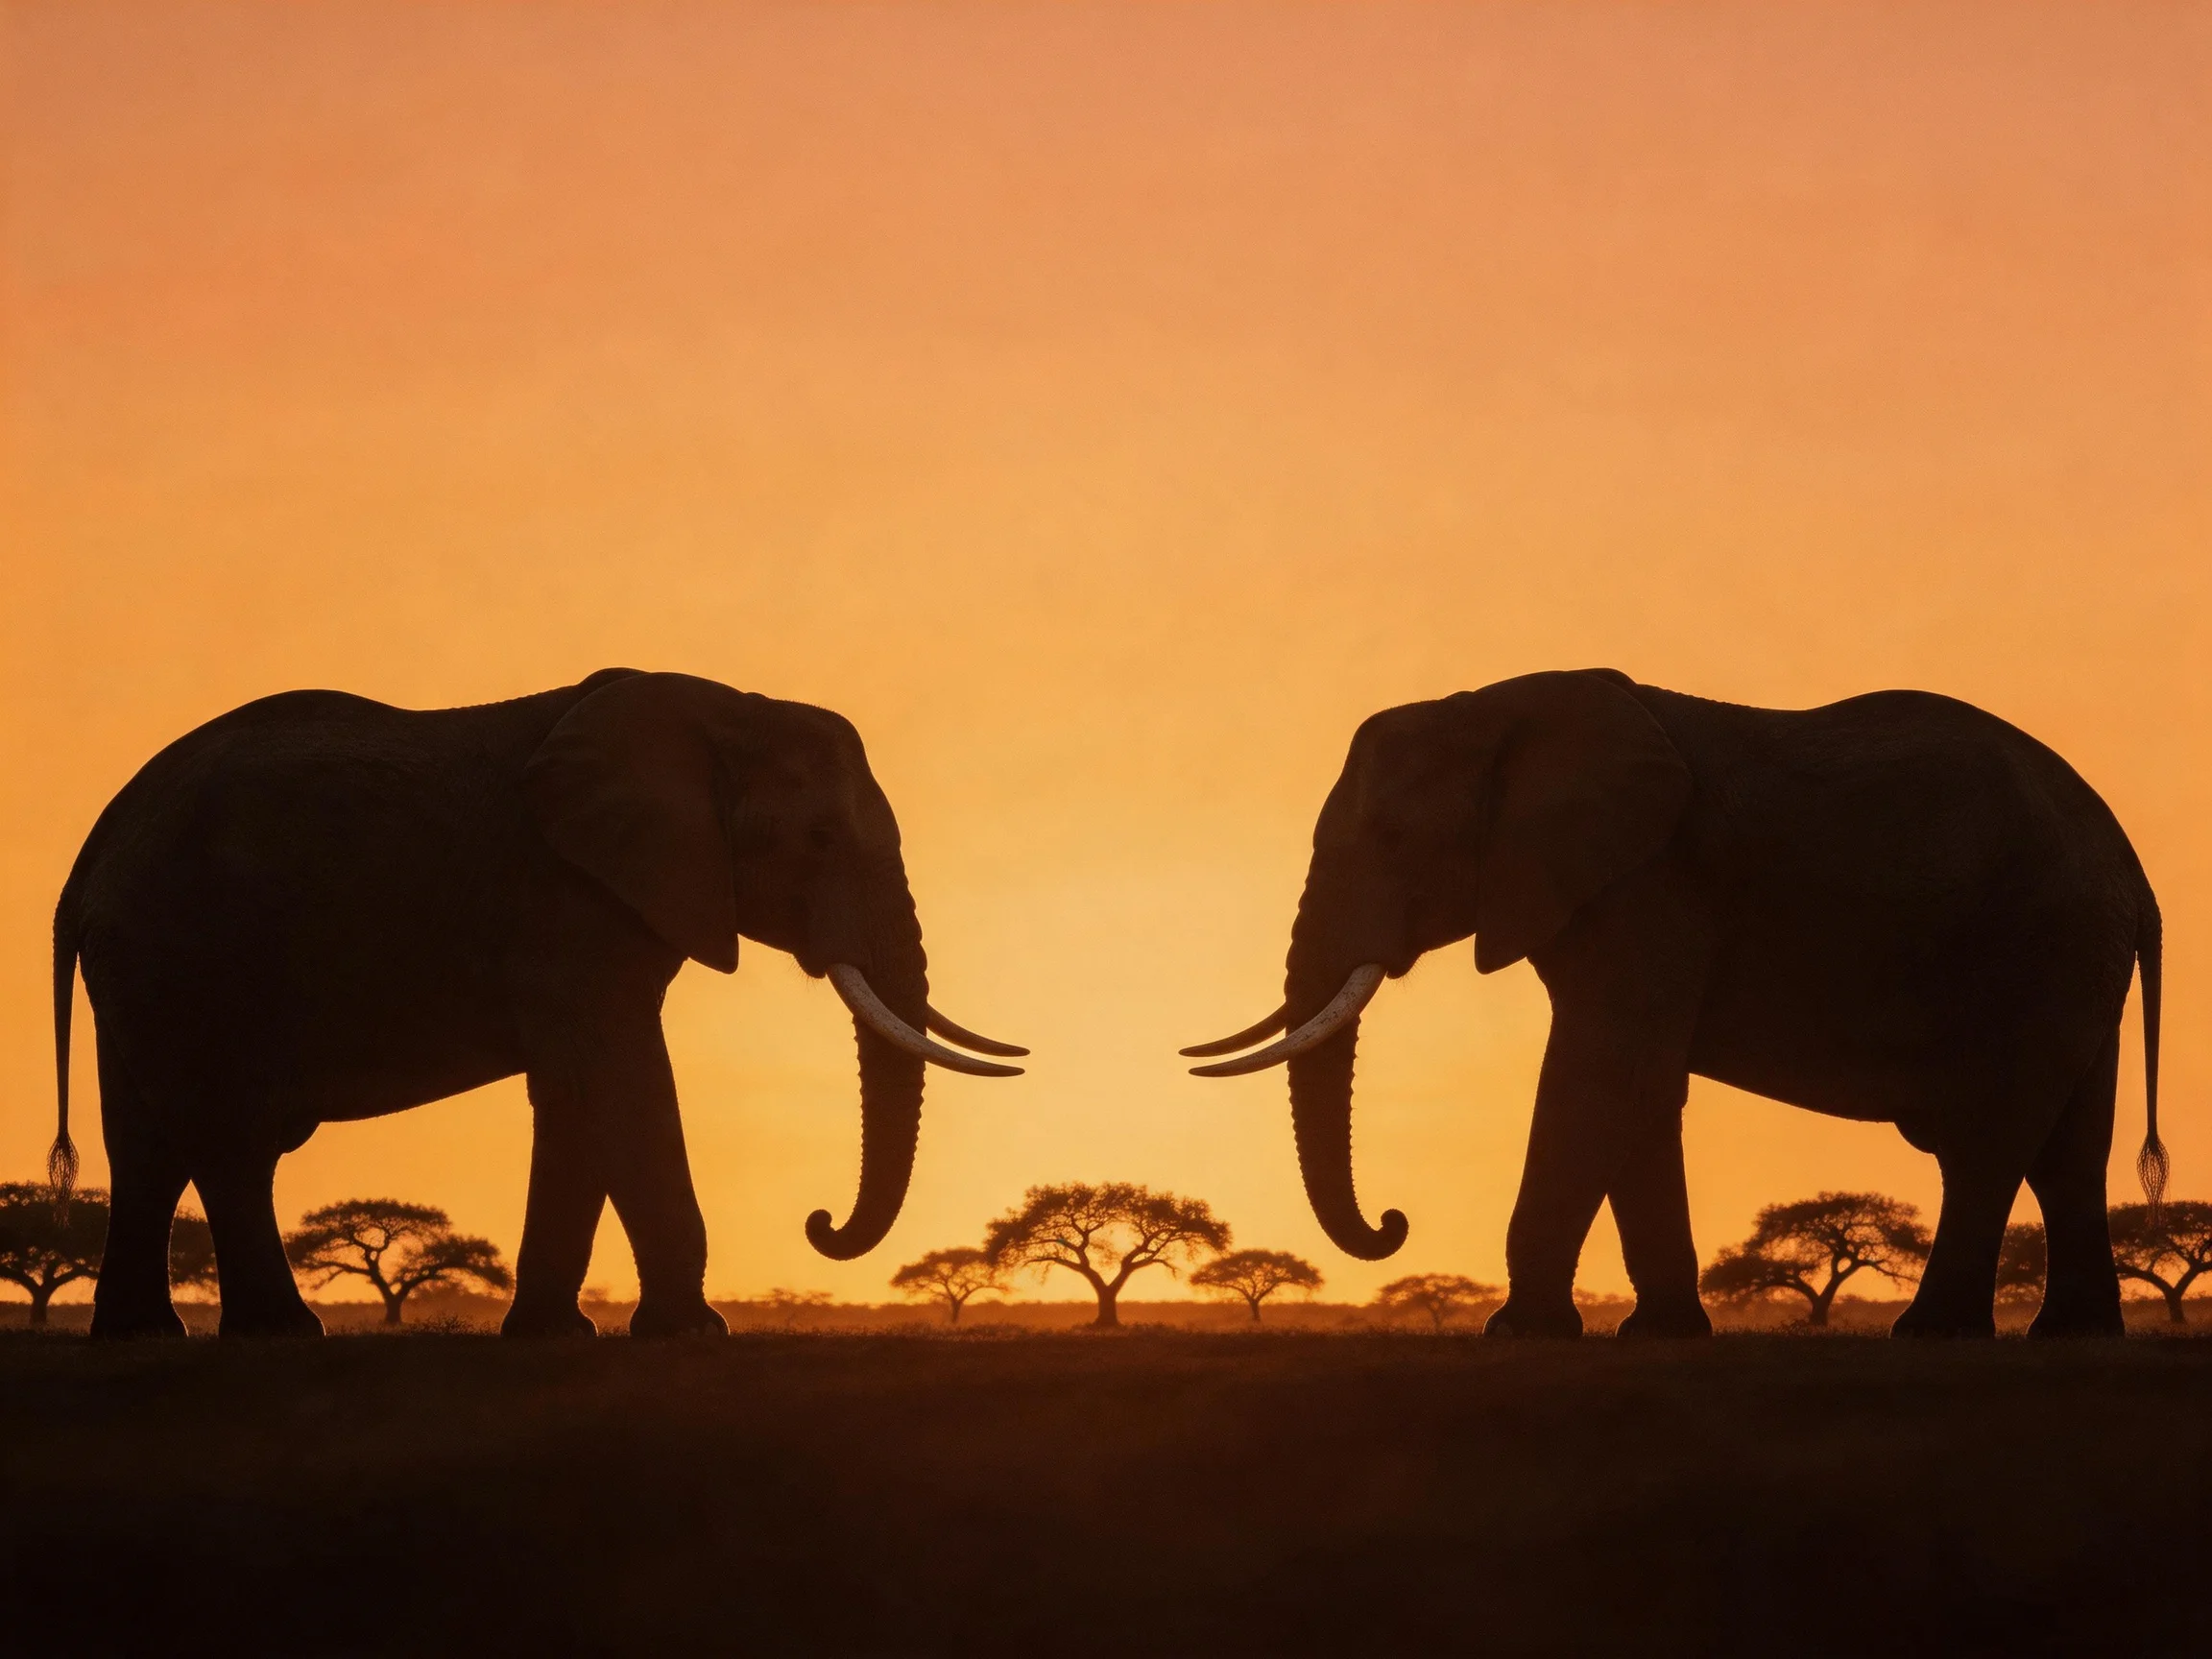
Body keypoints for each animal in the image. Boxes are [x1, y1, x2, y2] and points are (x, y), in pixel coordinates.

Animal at [48, 668, 1024, 1339]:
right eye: (818, 839)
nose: (819, 1222)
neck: (714, 708)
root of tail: (93, 850)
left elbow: (575, 1095)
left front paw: (556, 1335)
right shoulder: (566, 901)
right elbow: (624, 1077)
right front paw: (692, 1335)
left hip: (145, 963)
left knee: (147, 1144)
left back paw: (143, 1337)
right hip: (188, 949)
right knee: (230, 1140)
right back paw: (283, 1334)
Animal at [1187, 669, 2163, 1339]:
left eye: (1394, 840)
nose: (1394, 1221)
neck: (1498, 706)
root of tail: (2130, 859)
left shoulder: (1652, 884)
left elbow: (1600, 1075)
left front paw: (1519, 1336)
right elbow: (1641, 1090)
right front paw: (1657, 1335)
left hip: (2044, 942)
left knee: (1989, 1143)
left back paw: (1930, 1335)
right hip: (2077, 959)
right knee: (2068, 1149)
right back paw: (2071, 1336)